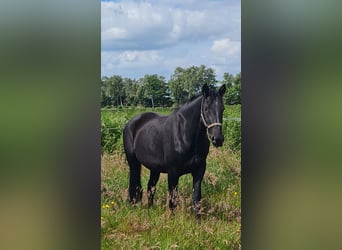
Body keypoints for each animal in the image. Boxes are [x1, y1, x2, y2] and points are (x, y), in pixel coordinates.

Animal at [122, 84, 224, 219]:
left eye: (222, 109)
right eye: (206, 109)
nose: (217, 139)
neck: (184, 134)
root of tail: (131, 123)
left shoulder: (199, 170)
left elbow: (196, 197)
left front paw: (198, 220)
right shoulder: (173, 172)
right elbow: (172, 199)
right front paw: (172, 220)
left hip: (155, 168)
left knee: (150, 187)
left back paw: (150, 209)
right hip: (133, 163)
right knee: (136, 185)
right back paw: (134, 205)